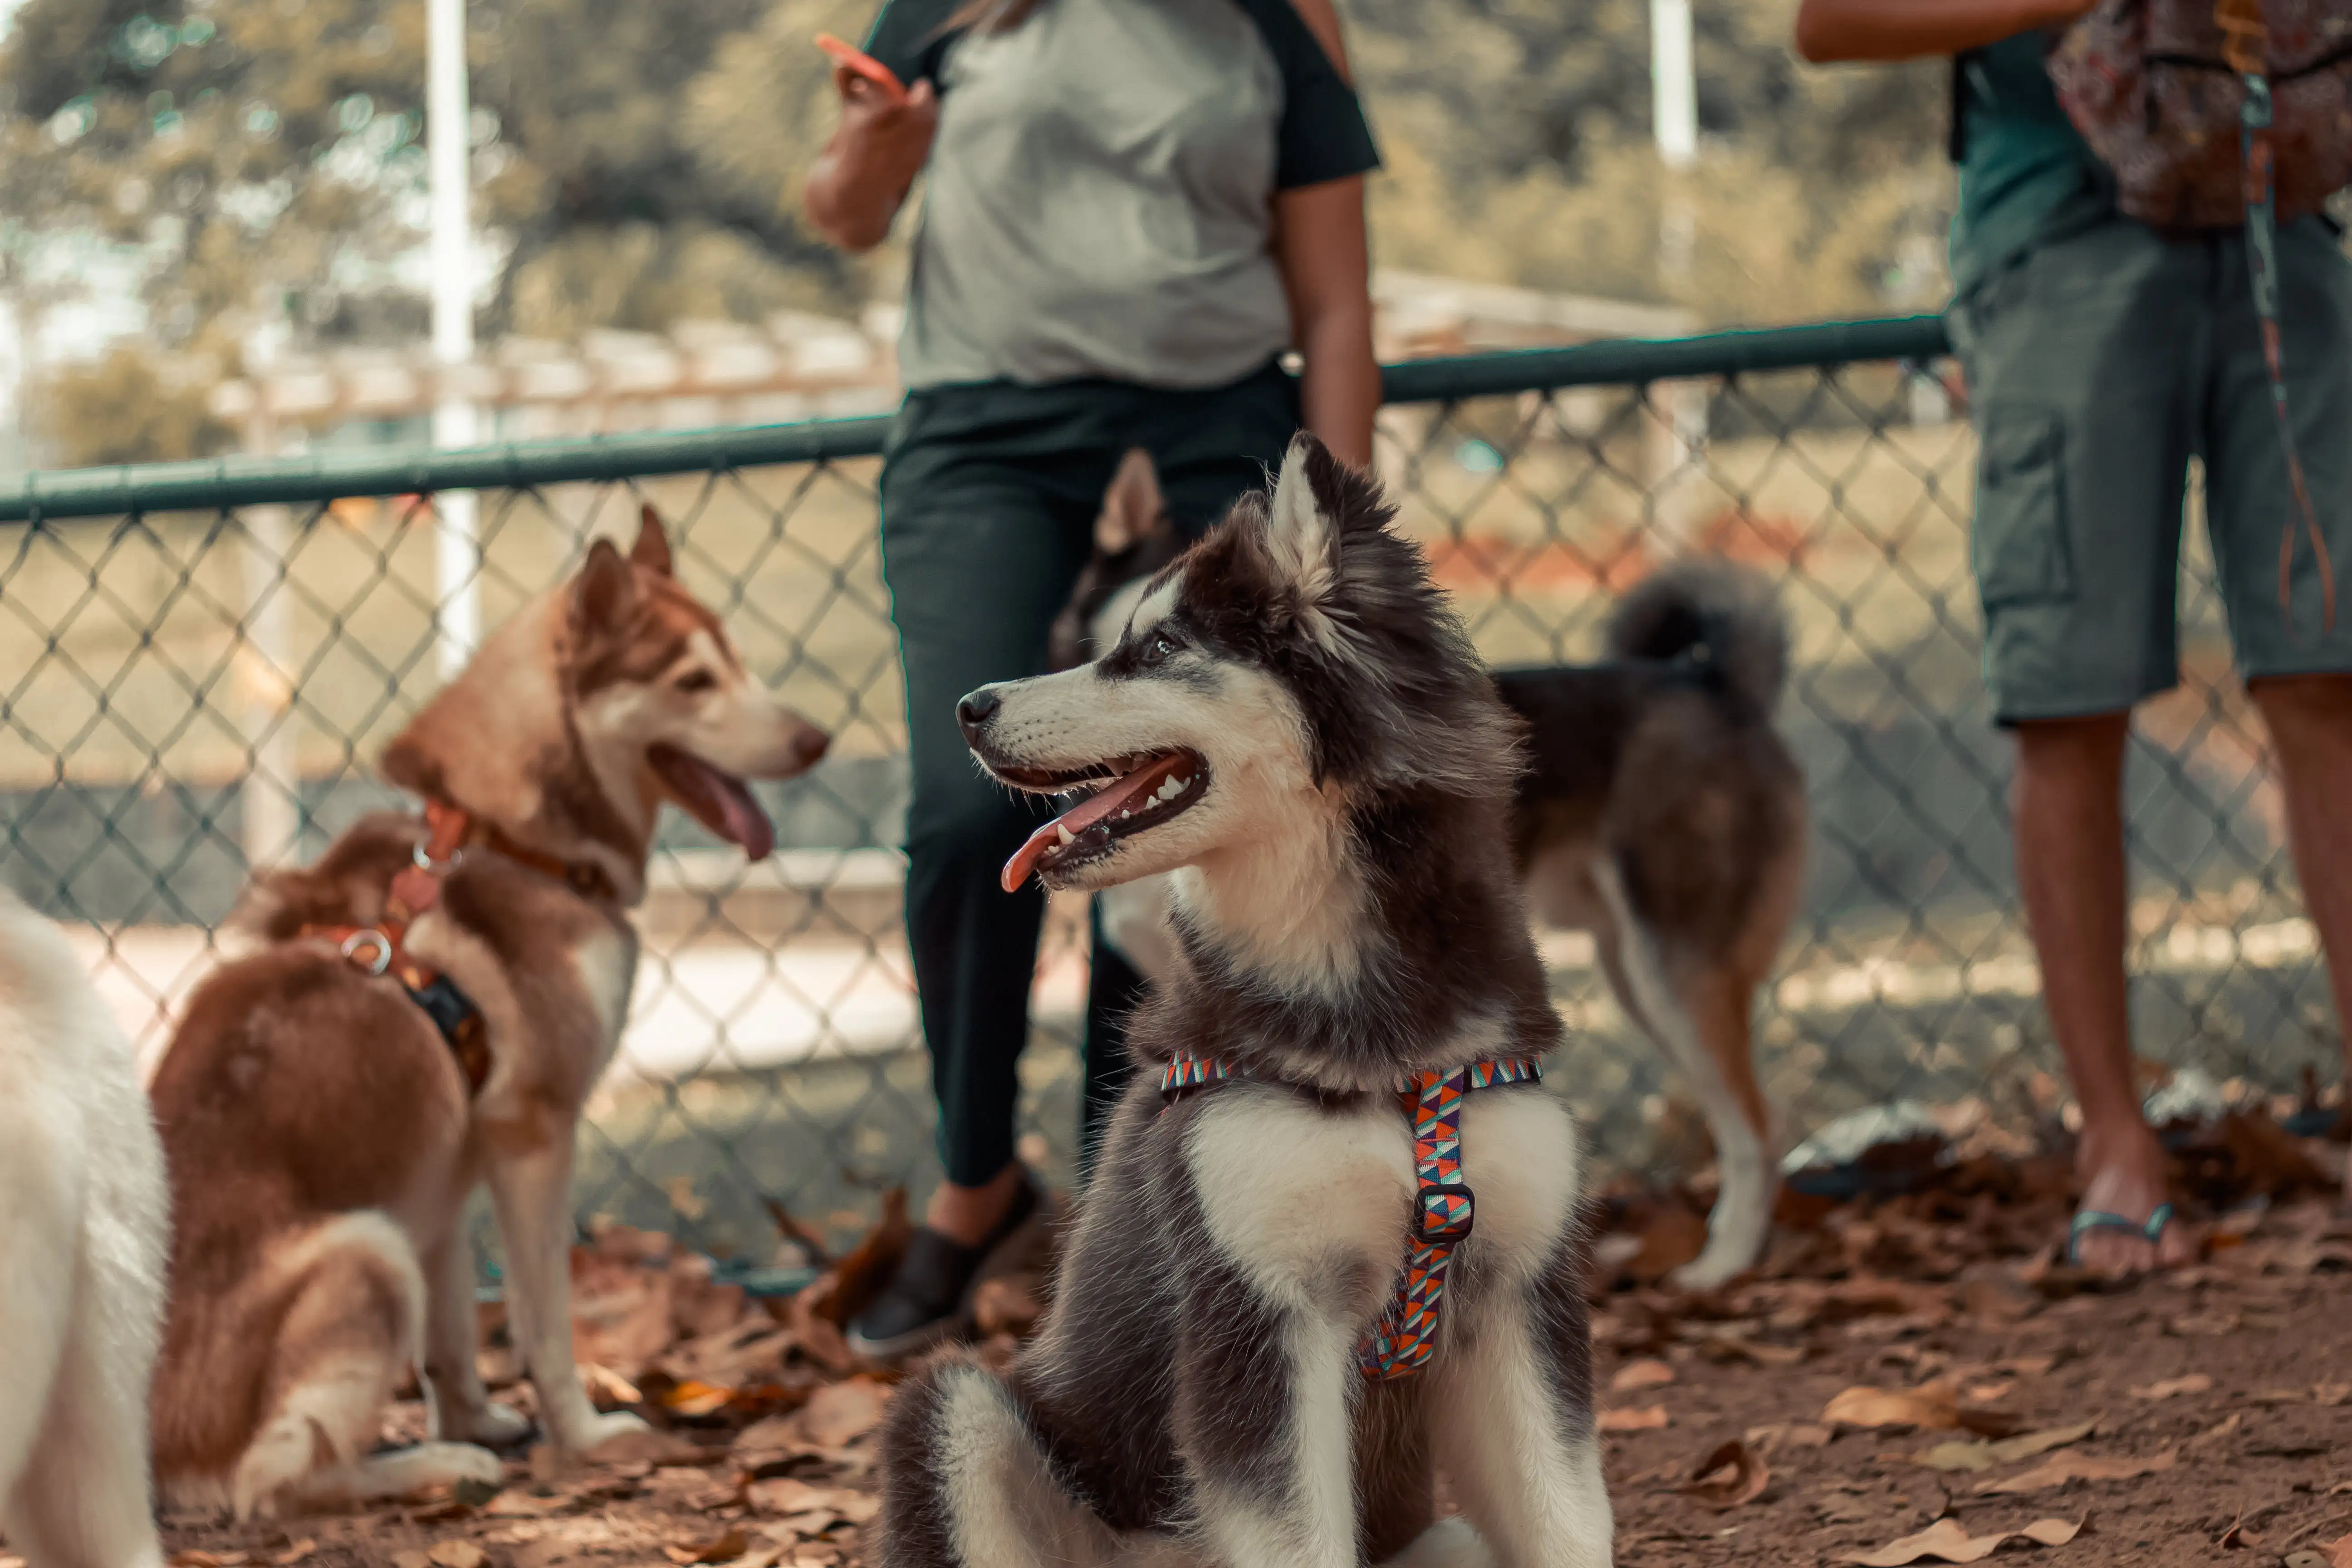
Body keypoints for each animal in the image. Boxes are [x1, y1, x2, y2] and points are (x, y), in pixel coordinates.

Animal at [144, 514, 828, 1523]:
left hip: (392, 1234)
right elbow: (544, 1326)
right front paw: (580, 1436)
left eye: (736, 660)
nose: (817, 739)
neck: (514, 841)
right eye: (693, 681)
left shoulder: (448, 1174)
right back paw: (431, 1469)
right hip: (367, 1252)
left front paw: (480, 1418)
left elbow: (456, 1335)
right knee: (270, 1482)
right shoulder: (533, 1138)